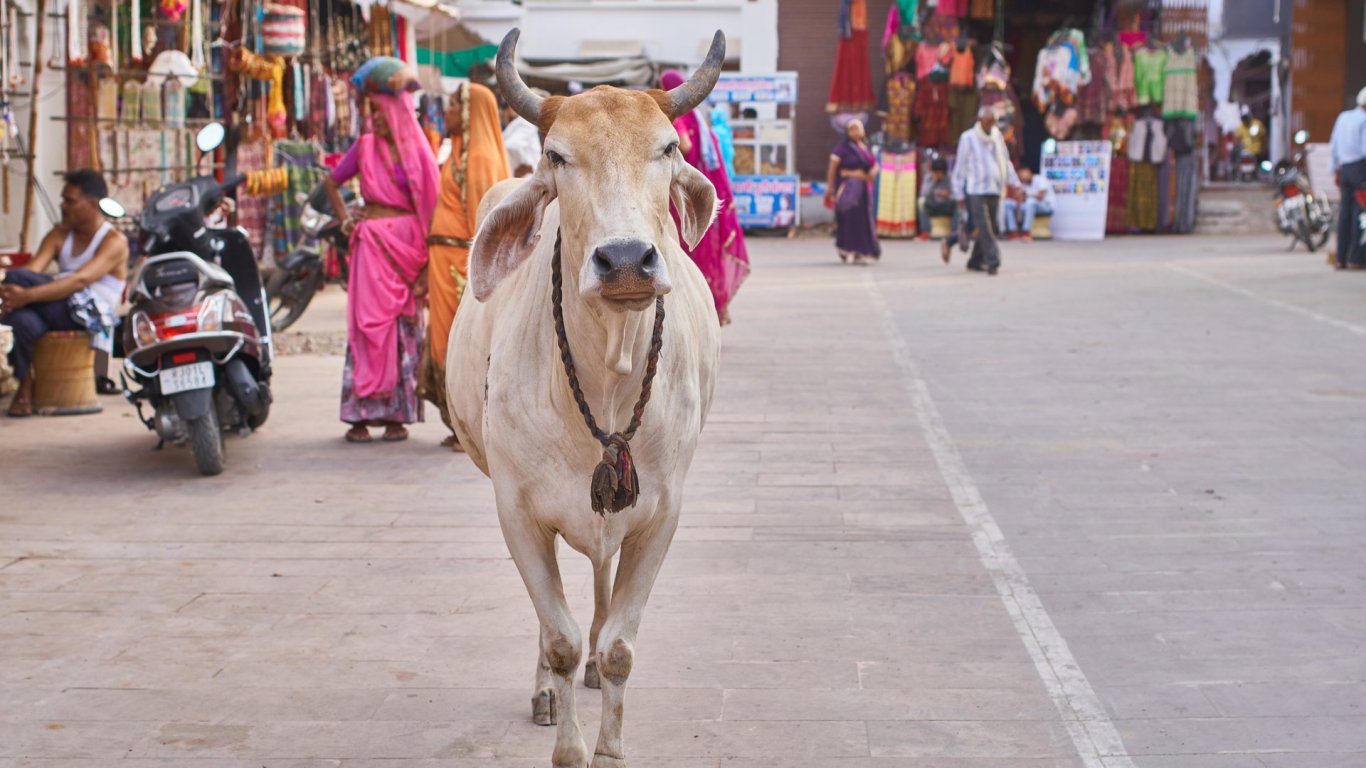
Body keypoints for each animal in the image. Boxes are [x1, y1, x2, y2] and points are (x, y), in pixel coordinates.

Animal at [445, 28, 726, 765]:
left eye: (669, 148)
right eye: (556, 156)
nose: (625, 260)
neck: (608, 377)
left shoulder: (661, 513)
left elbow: (621, 645)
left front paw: (610, 747)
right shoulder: (516, 512)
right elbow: (562, 638)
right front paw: (570, 744)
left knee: (600, 584)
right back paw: (548, 688)